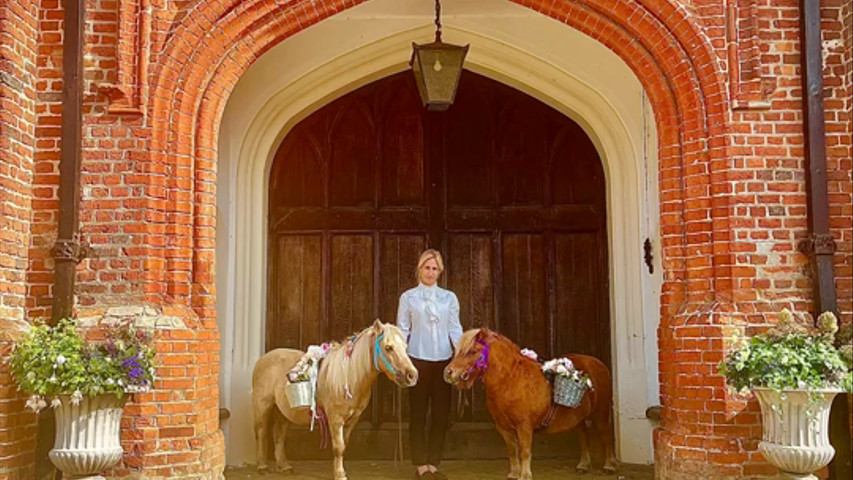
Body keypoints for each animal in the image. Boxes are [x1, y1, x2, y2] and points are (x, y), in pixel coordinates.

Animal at [251, 318, 418, 480]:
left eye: (405, 347)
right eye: (388, 347)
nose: (412, 375)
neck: (349, 376)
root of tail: (263, 359)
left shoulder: (352, 420)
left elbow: (343, 445)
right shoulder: (335, 419)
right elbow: (338, 447)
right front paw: (339, 474)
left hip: (284, 412)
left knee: (278, 435)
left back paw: (284, 466)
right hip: (263, 406)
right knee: (261, 432)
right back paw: (262, 466)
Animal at [442, 330, 616, 480]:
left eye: (472, 351)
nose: (448, 373)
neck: (511, 380)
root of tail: (597, 363)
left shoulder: (524, 426)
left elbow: (524, 451)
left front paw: (524, 476)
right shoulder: (503, 427)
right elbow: (512, 451)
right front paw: (513, 474)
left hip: (601, 413)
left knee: (606, 436)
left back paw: (609, 466)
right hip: (578, 418)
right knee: (583, 437)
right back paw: (583, 465)